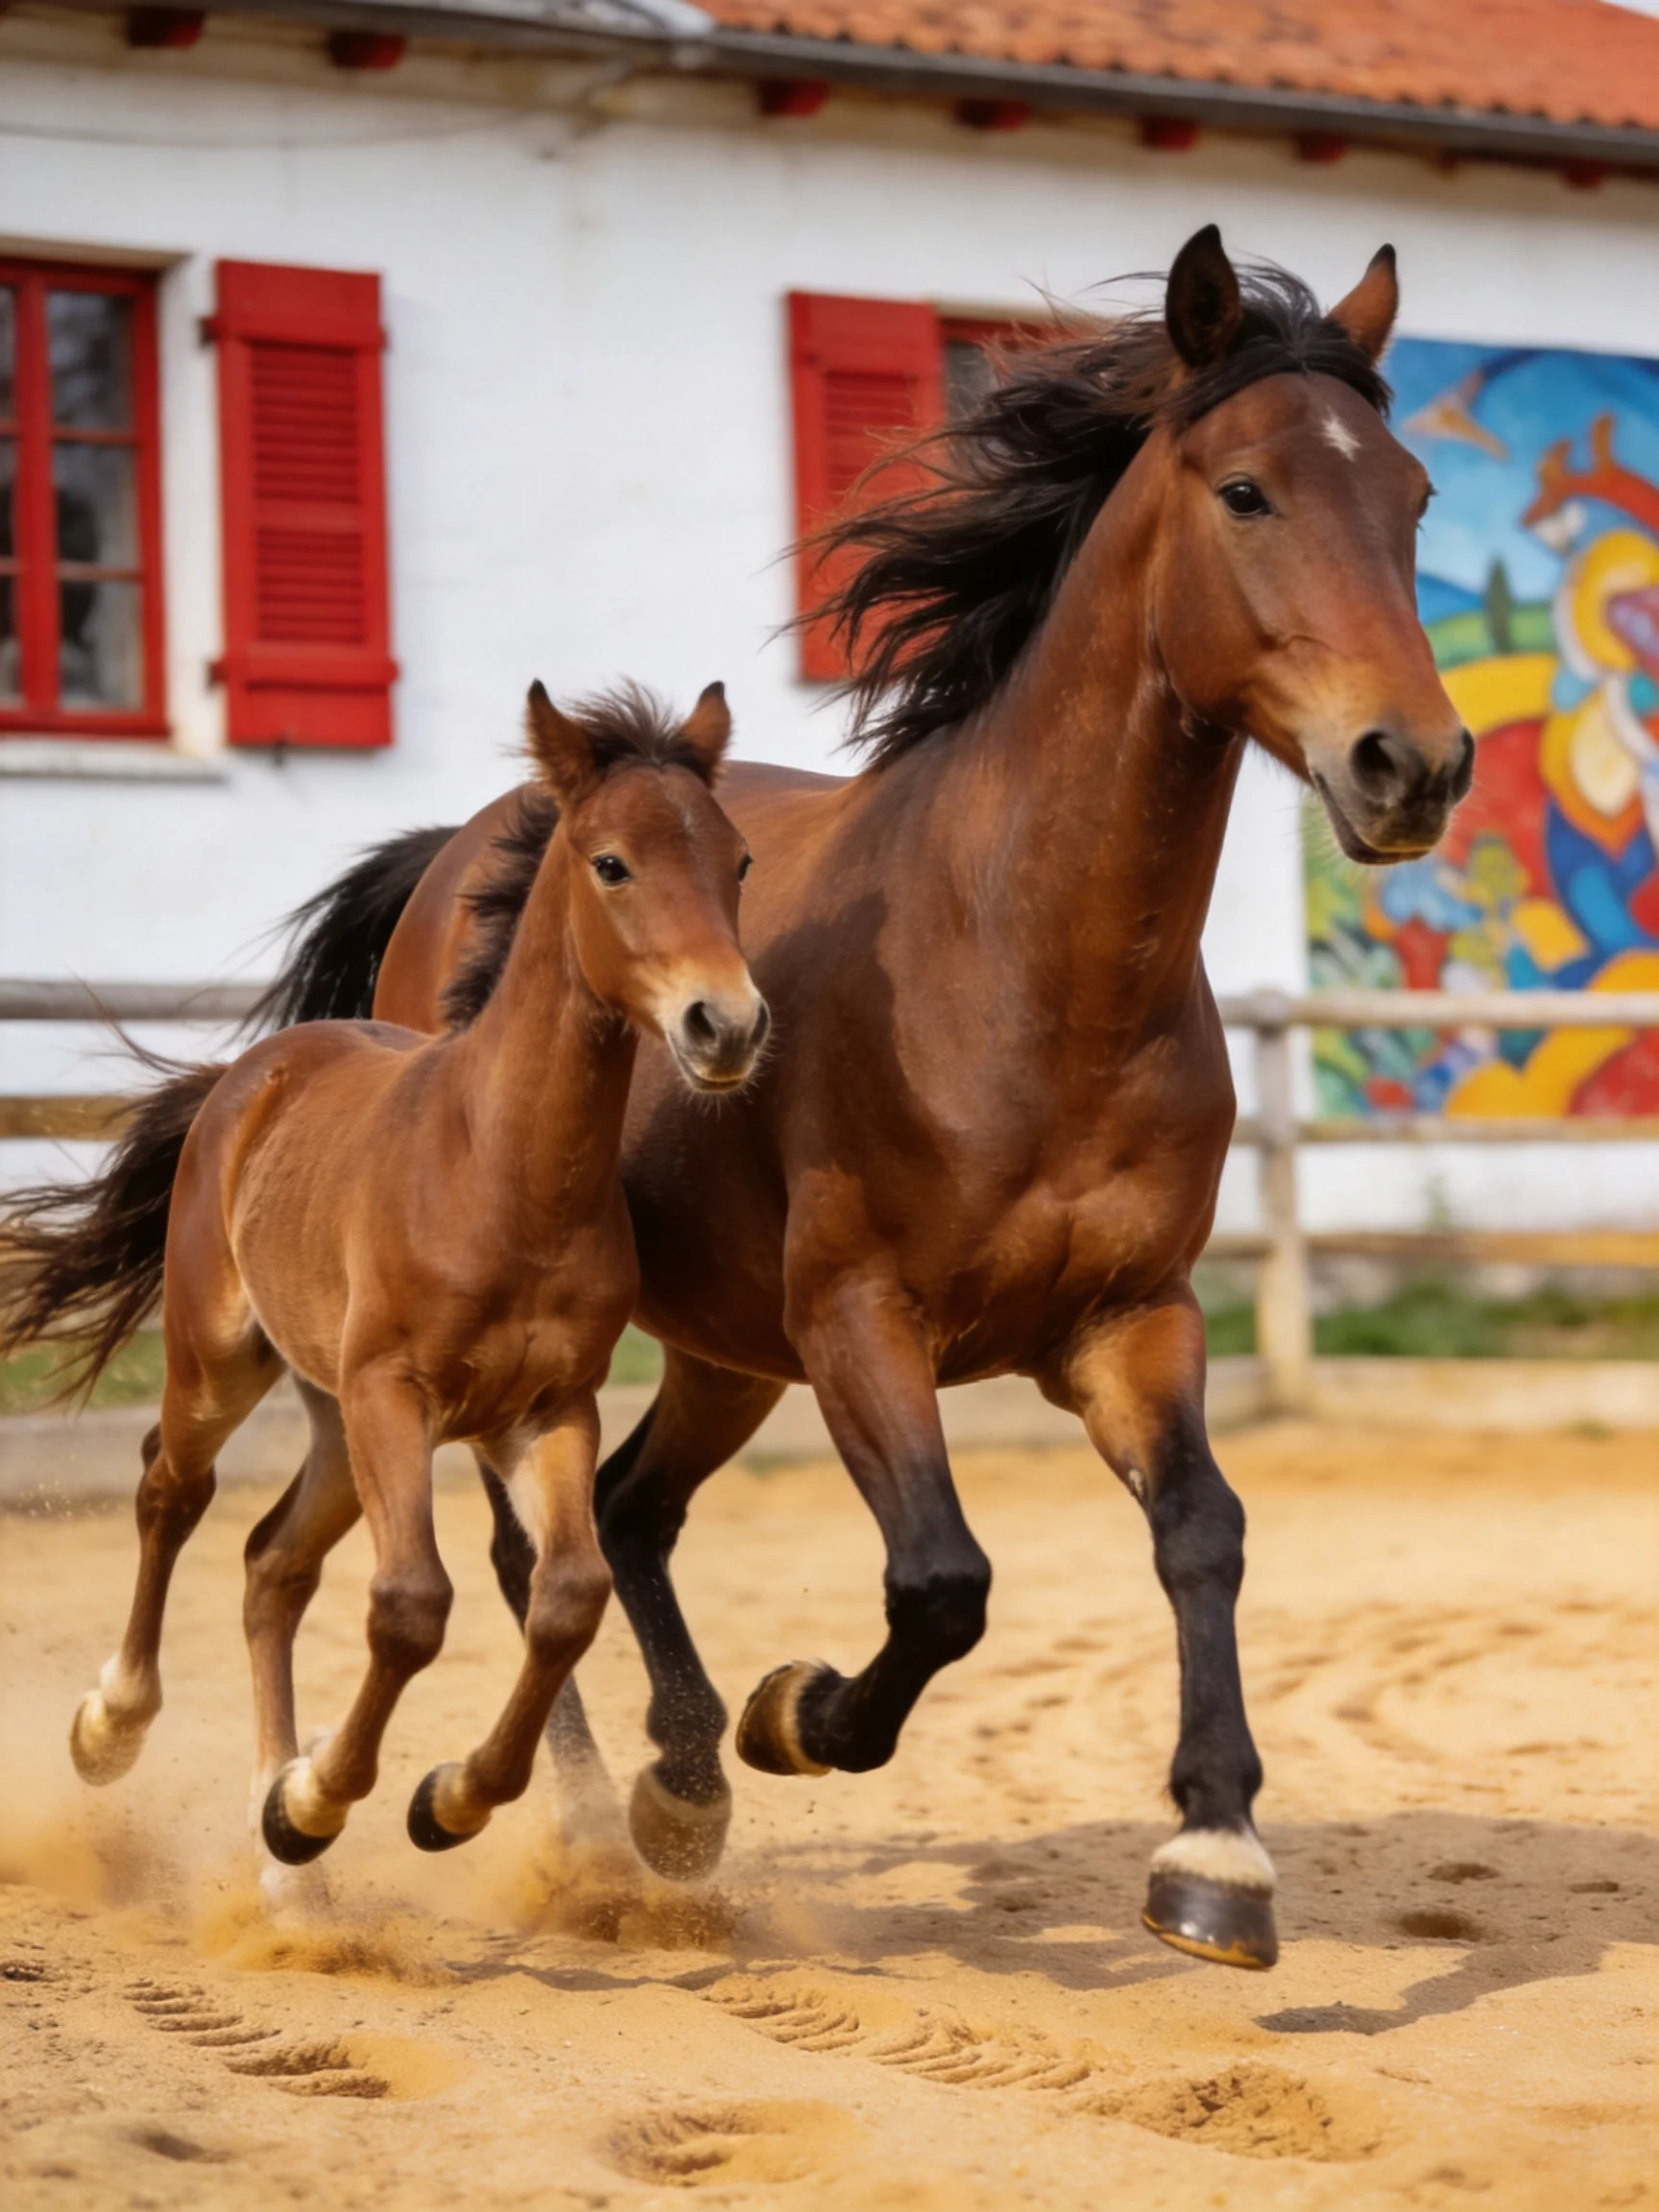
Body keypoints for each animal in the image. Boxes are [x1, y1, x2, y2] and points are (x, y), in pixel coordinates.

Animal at [0, 683, 766, 1870]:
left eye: (737, 861)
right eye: (611, 863)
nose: (725, 1025)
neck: (503, 1175)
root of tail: (253, 1071)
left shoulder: (550, 1407)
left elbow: (568, 1594)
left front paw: (438, 1799)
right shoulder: (394, 1394)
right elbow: (412, 1603)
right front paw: (324, 1802)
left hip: (329, 1418)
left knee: (272, 1562)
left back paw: (281, 1843)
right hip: (226, 1364)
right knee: (171, 1490)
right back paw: (113, 1727)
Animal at [249, 228, 1470, 1968]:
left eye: (1416, 497)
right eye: (1245, 490)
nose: (1411, 766)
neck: (1028, 969)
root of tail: (459, 849)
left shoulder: (1133, 1317)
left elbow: (1202, 1530)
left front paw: (1215, 1855)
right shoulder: (855, 1317)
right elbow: (942, 1578)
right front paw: (800, 1714)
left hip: (718, 1345)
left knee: (625, 1512)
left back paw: (676, 1788)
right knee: (530, 1538)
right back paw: (583, 1815)